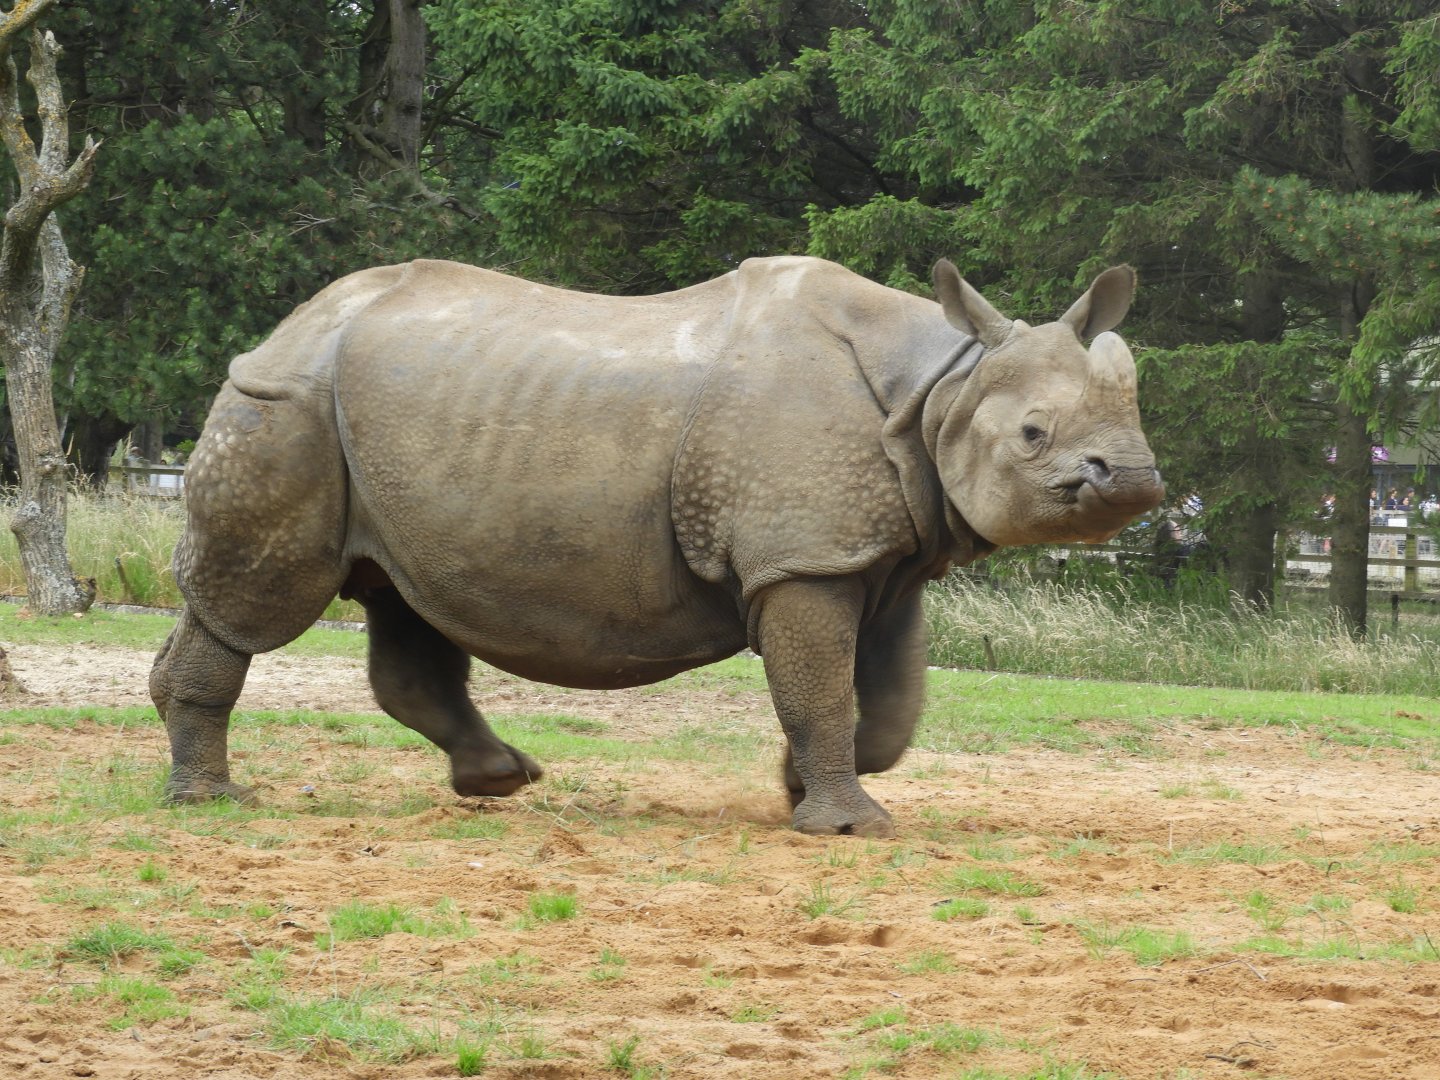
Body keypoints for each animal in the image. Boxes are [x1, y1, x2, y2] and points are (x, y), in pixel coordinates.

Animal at [151, 255, 1163, 837]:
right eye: (1032, 435)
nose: (1136, 481)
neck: (946, 382)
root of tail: (286, 325)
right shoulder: (804, 557)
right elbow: (824, 688)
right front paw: (847, 829)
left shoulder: (878, 559)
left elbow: (887, 707)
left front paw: (798, 788)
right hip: (285, 403)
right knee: (260, 606)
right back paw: (212, 803)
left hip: (379, 427)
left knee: (402, 596)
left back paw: (498, 783)